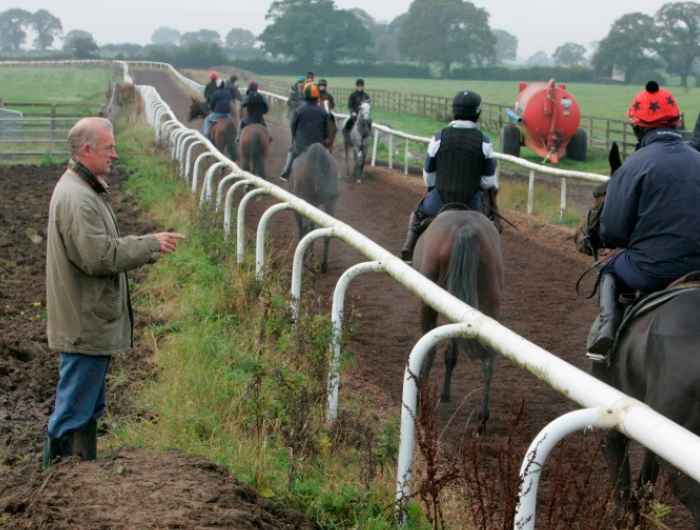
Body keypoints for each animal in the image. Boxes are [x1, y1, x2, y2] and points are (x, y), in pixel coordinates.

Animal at [286, 140, 338, 272]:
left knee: (304, 228)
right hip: (331, 201)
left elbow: (303, 228)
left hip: (305, 199)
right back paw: (323, 265)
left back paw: (306, 260)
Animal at [410, 207, 504, 428]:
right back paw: (483, 416)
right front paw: (445, 393)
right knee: (489, 357)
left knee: (430, 348)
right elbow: (452, 352)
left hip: (429, 301)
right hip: (489, 299)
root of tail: (465, 228)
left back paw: (421, 397)